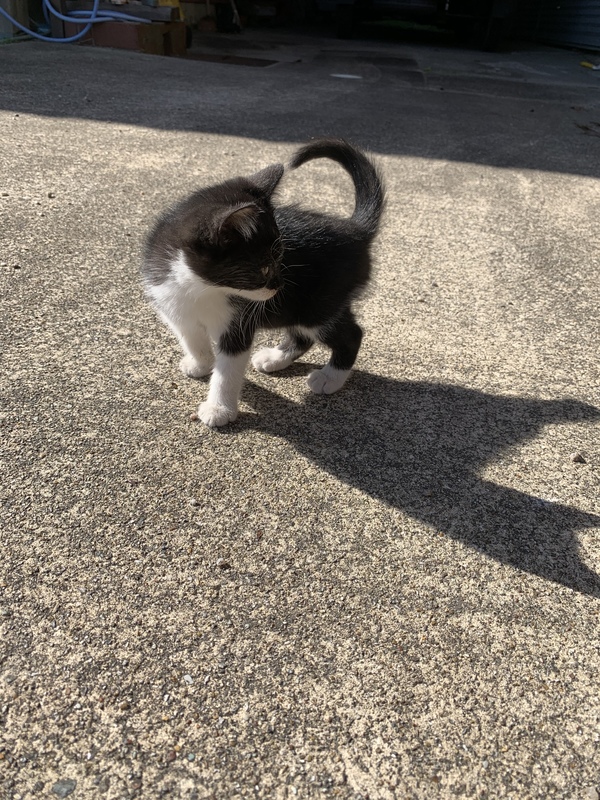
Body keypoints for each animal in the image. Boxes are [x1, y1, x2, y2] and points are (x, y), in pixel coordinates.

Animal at [142, 137, 385, 427]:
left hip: (319, 305)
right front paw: (200, 363)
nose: (279, 285)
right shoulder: (173, 305)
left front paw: (219, 409)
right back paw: (275, 358)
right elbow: (191, 337)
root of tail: (356, 231)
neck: (201, 288)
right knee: (302, 335)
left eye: (280, 259)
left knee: (350, 335)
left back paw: (329, 377)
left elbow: (228, 369)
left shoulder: (238, 322)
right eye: (265, 267)